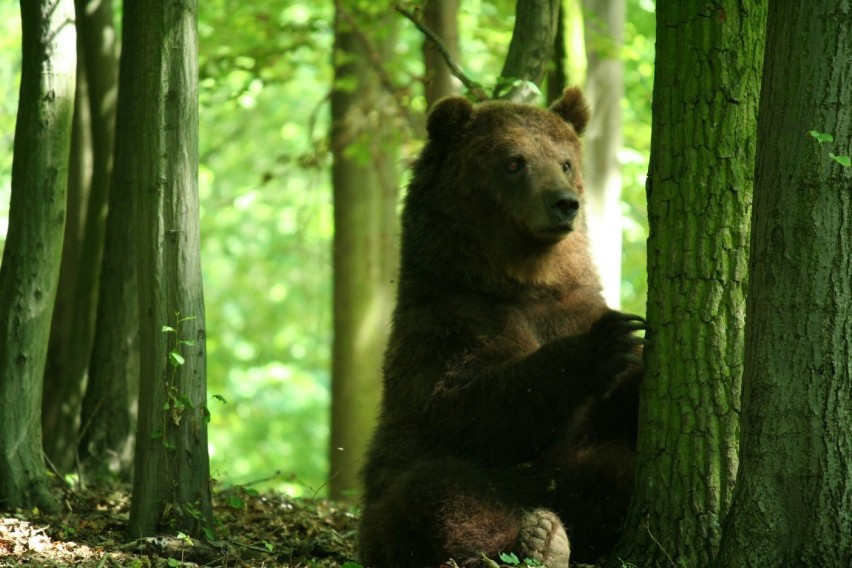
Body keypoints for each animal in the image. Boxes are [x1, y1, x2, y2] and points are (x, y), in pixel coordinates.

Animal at [360, 86, 644, 564]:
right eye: (514, 161)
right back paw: (539, 540)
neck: (523, 283)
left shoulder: (572, 305)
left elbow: (618, 408)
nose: (565, 203)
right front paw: (600, 345)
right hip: (387, 514)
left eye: (565, 162)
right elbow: (466, 406)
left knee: (614, 476)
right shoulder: (448, 322)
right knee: (436, 489)